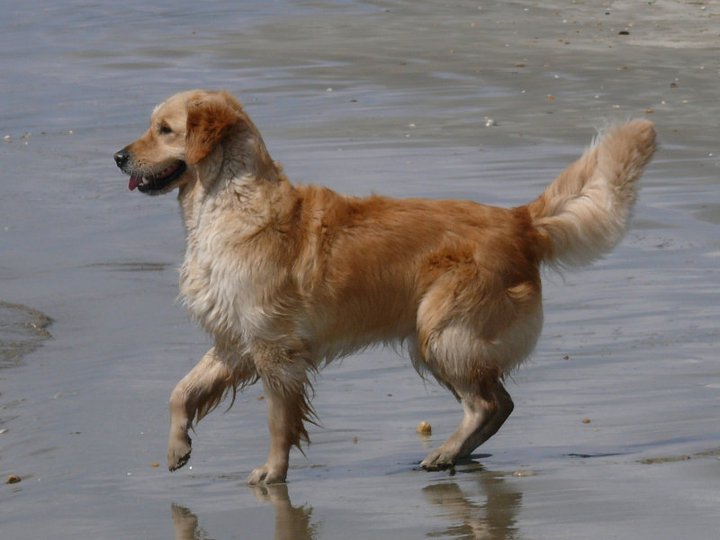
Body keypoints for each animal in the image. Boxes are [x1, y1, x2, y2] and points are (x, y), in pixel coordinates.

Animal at [114, 90, 660, 484]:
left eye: (164, 130)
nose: (118, 156)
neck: (227, 202)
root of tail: (520, 220)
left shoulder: (274, 348)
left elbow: (277, 421)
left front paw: (273, 472)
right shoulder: (233, 341)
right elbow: (180, 392)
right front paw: (178, 448)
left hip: (441, 331)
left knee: (489, 403)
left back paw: (443, 452)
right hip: (439, 338)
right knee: (498, 403)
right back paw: (452, 455)